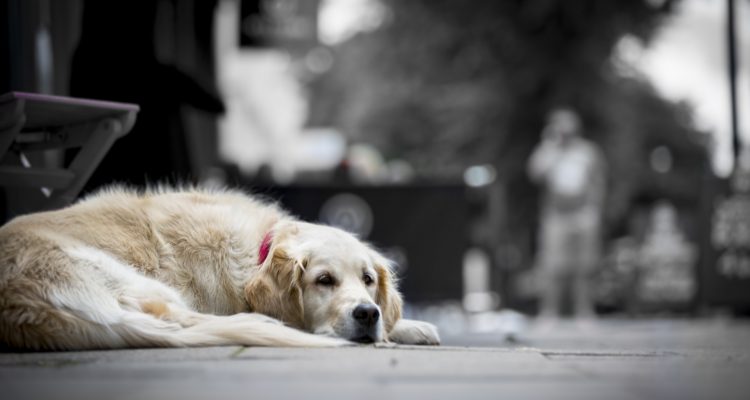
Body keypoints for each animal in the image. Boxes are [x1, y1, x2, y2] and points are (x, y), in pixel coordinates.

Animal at [0, 188, 440, 350]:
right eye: (324, 281)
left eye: (368, 280)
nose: (367, 313)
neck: (260, 251)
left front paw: (410, 325)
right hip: (121, 276)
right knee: (179, 319)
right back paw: (259, 323)